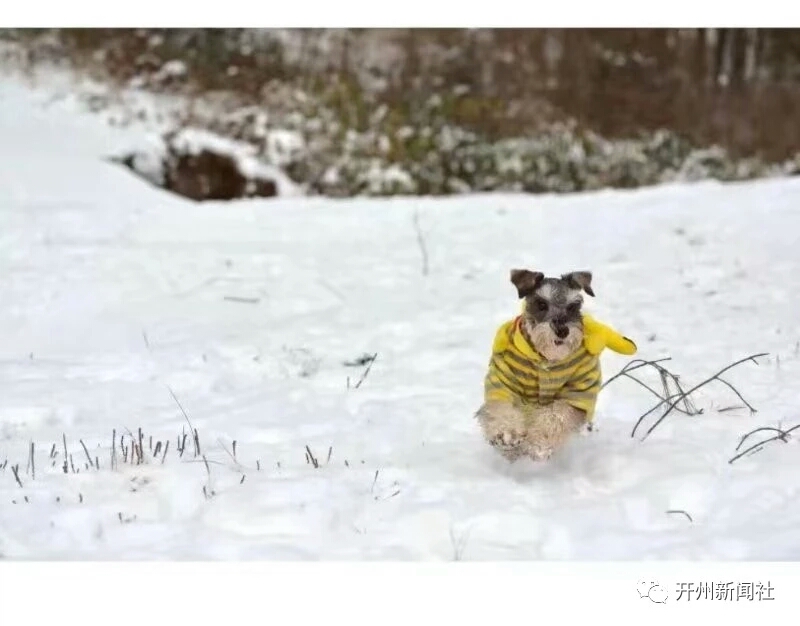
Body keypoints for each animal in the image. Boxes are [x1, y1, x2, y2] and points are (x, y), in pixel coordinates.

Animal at [476, 266, 636, 460]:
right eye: (541, 304)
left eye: (573, 306)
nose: (562, 331)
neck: (547, 360)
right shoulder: (503, 384)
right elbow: (501, 408)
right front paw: (508, 434)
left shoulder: (577, 394)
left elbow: (556, 415)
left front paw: (539, 444)